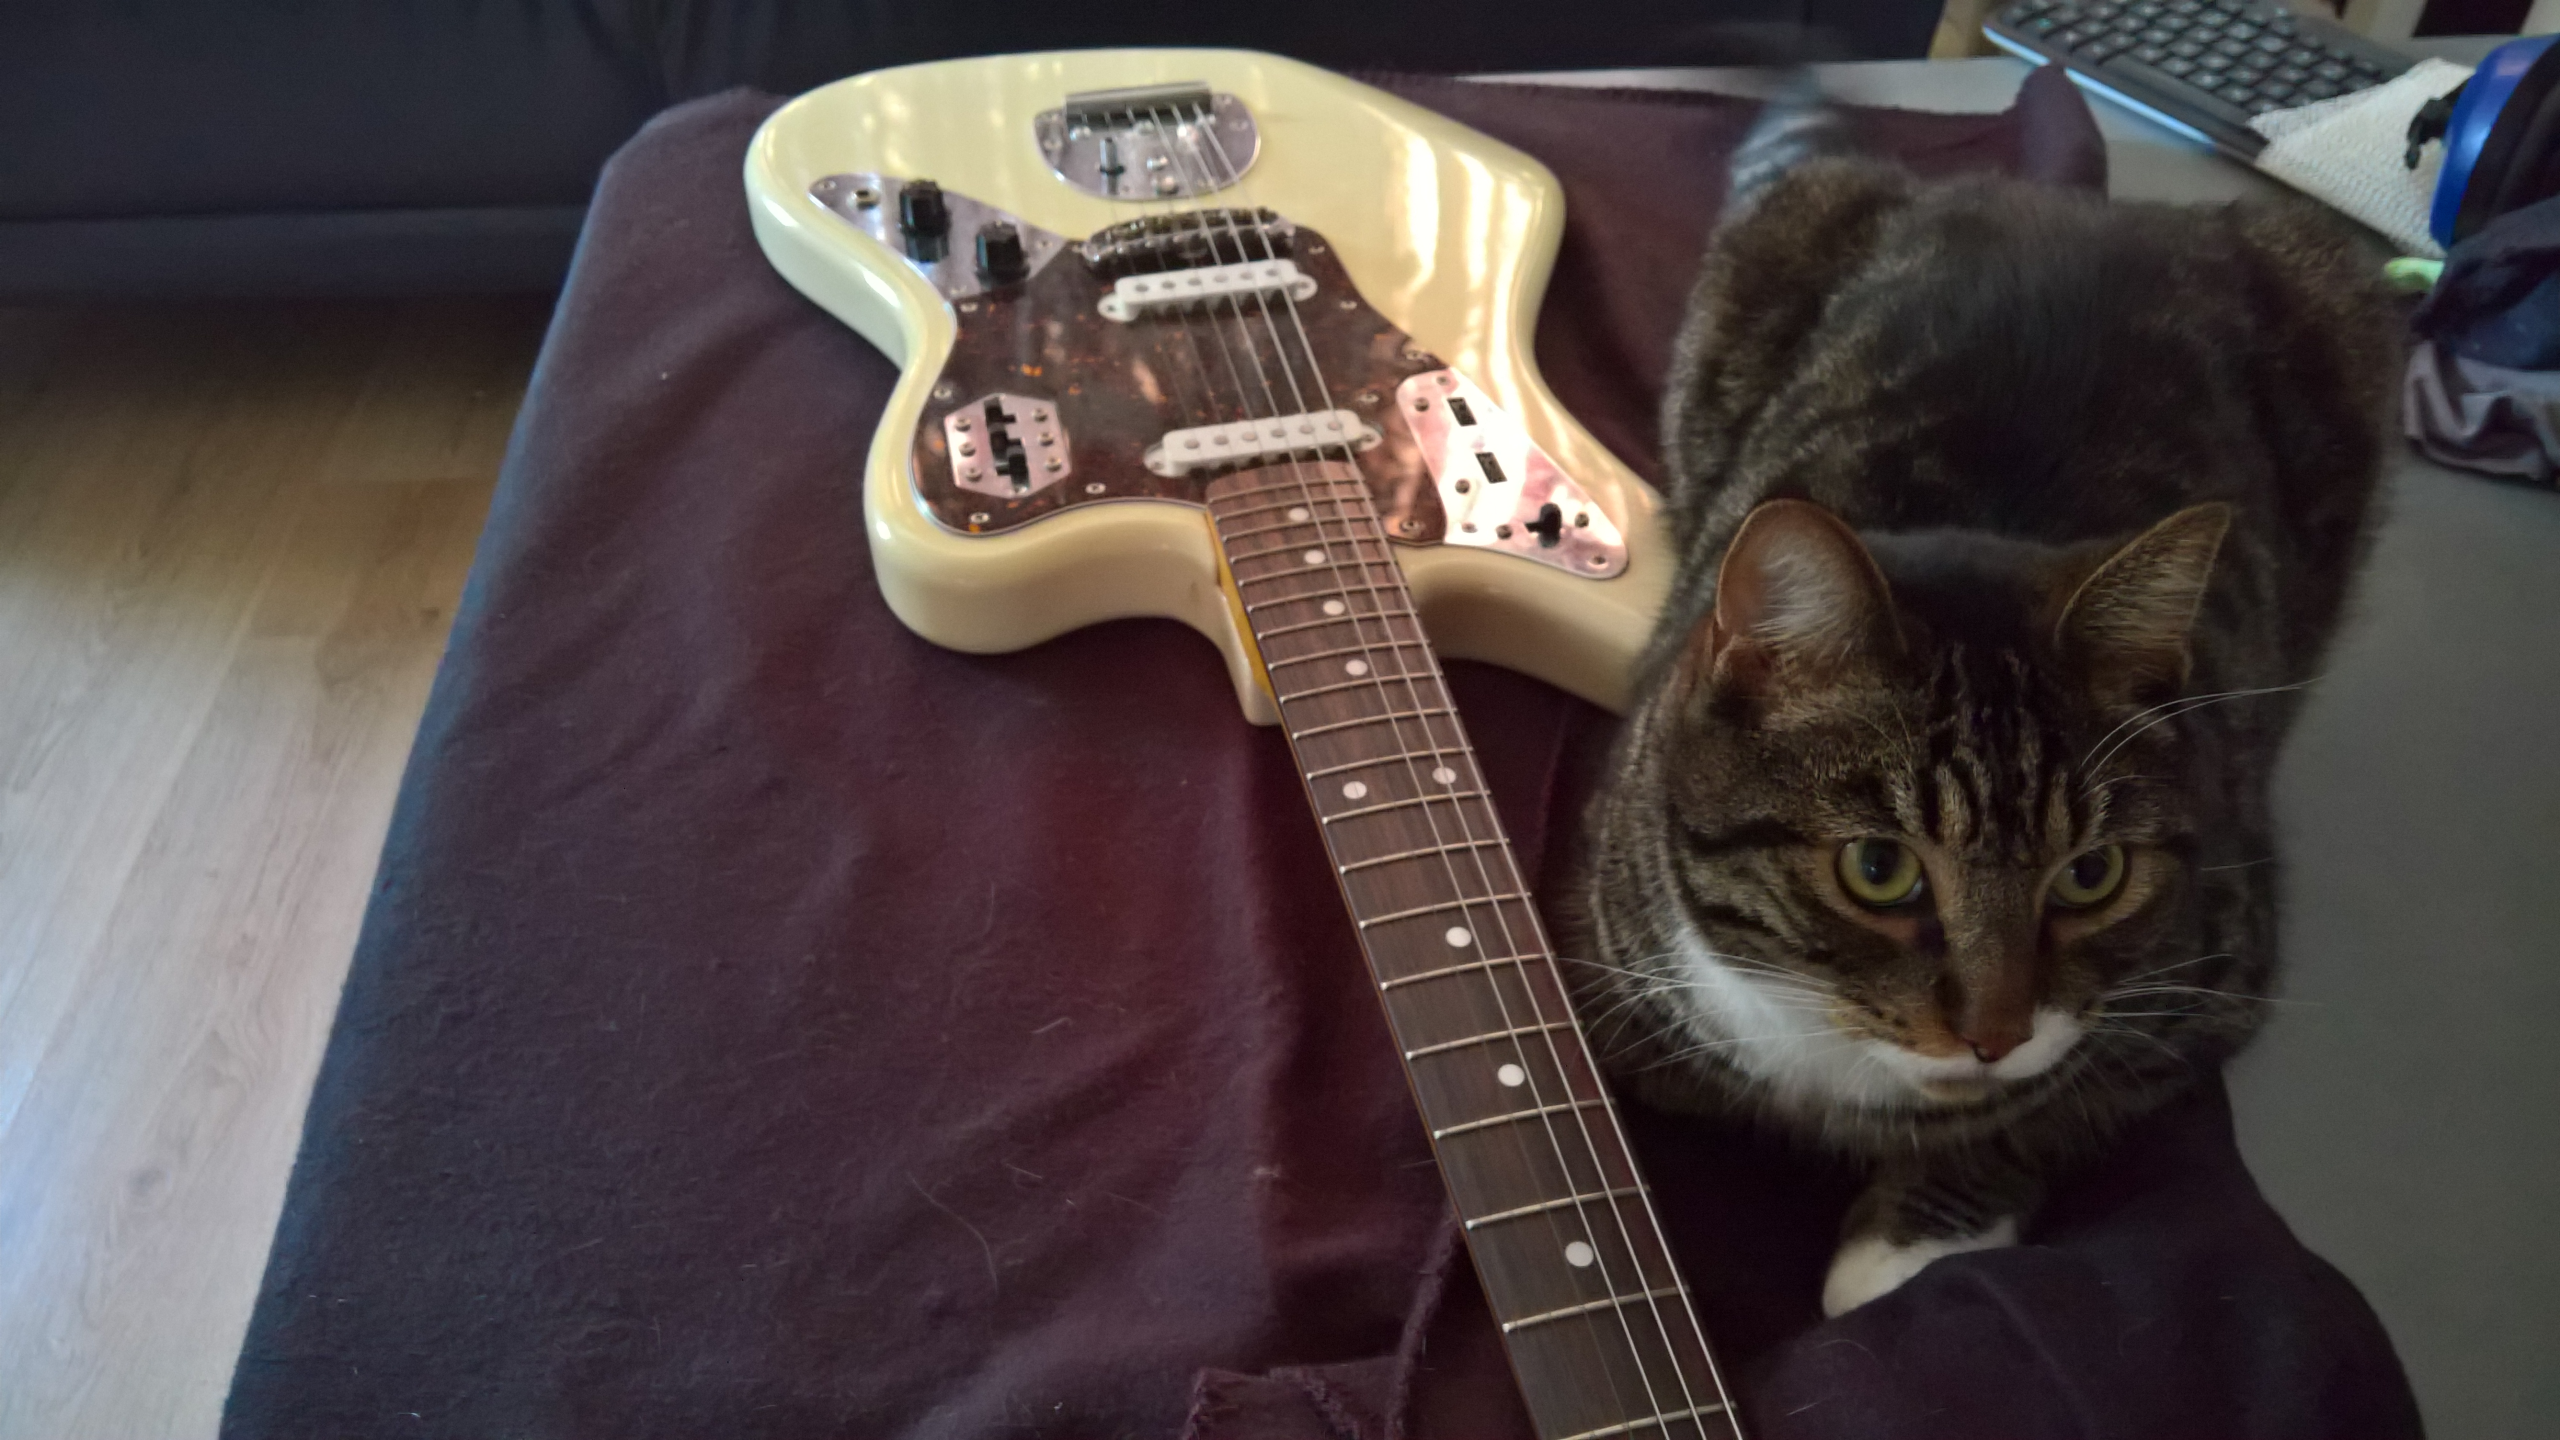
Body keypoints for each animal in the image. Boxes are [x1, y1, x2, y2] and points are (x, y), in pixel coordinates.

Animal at [1574, 100, 2401, 1317]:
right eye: (1878, 870)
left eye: (2092, 874)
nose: (1993, 1035)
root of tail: (2076, 204)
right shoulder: (1610, 982)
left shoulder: (2212, 980)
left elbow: (2046, 1110)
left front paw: (1912, 1246)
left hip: (2340, 303)